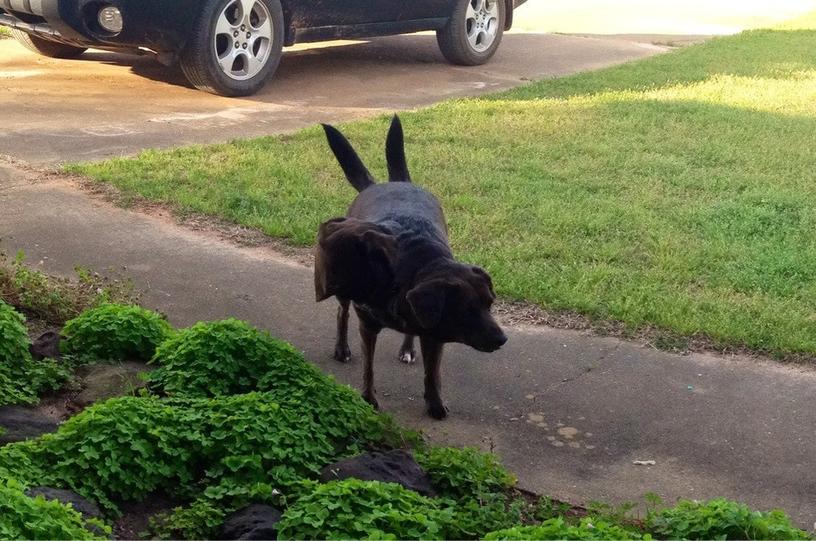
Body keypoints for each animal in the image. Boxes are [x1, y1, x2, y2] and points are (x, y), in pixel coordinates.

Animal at [316, 115, 506, 418]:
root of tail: (386, 183)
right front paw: (368, 399)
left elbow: (432, 373)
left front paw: (435, 403)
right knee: (341, 314)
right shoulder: (368, 325)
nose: (502, 339)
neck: (415, 265)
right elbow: (369, 368)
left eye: (490, 304)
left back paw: (407, 348)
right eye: (466, 309)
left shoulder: (435, 333)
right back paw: (342, 348)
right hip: (344, 281)